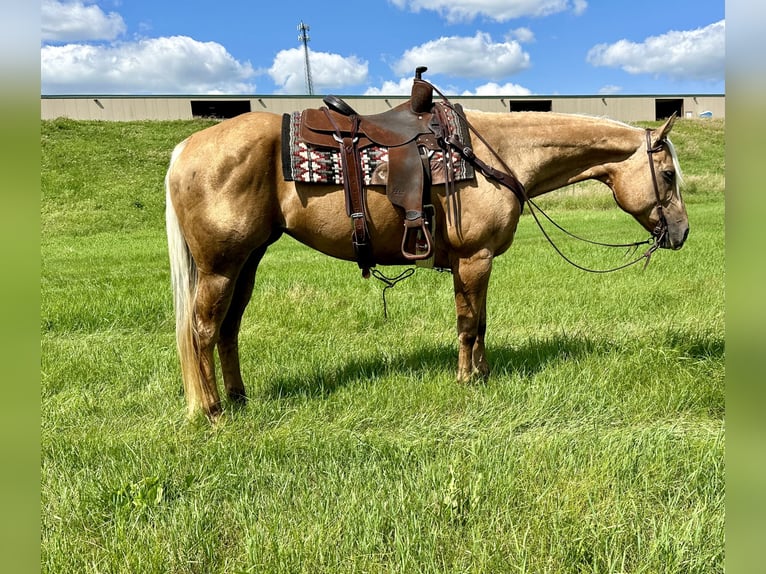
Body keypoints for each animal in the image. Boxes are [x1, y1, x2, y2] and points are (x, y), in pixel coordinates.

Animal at [164, 107, 688, 418]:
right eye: (667, 174)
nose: (682, 233)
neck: (496, 153)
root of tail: (185, 149)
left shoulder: (469, 263)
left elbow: (480, 322)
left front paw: (482, 375)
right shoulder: (475, 258)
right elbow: (469, 323)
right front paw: (467, 380)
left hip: (247, 263)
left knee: (228, 330)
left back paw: (238, 399)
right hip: (220, 267)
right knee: (202, 331)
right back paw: (211, 410)